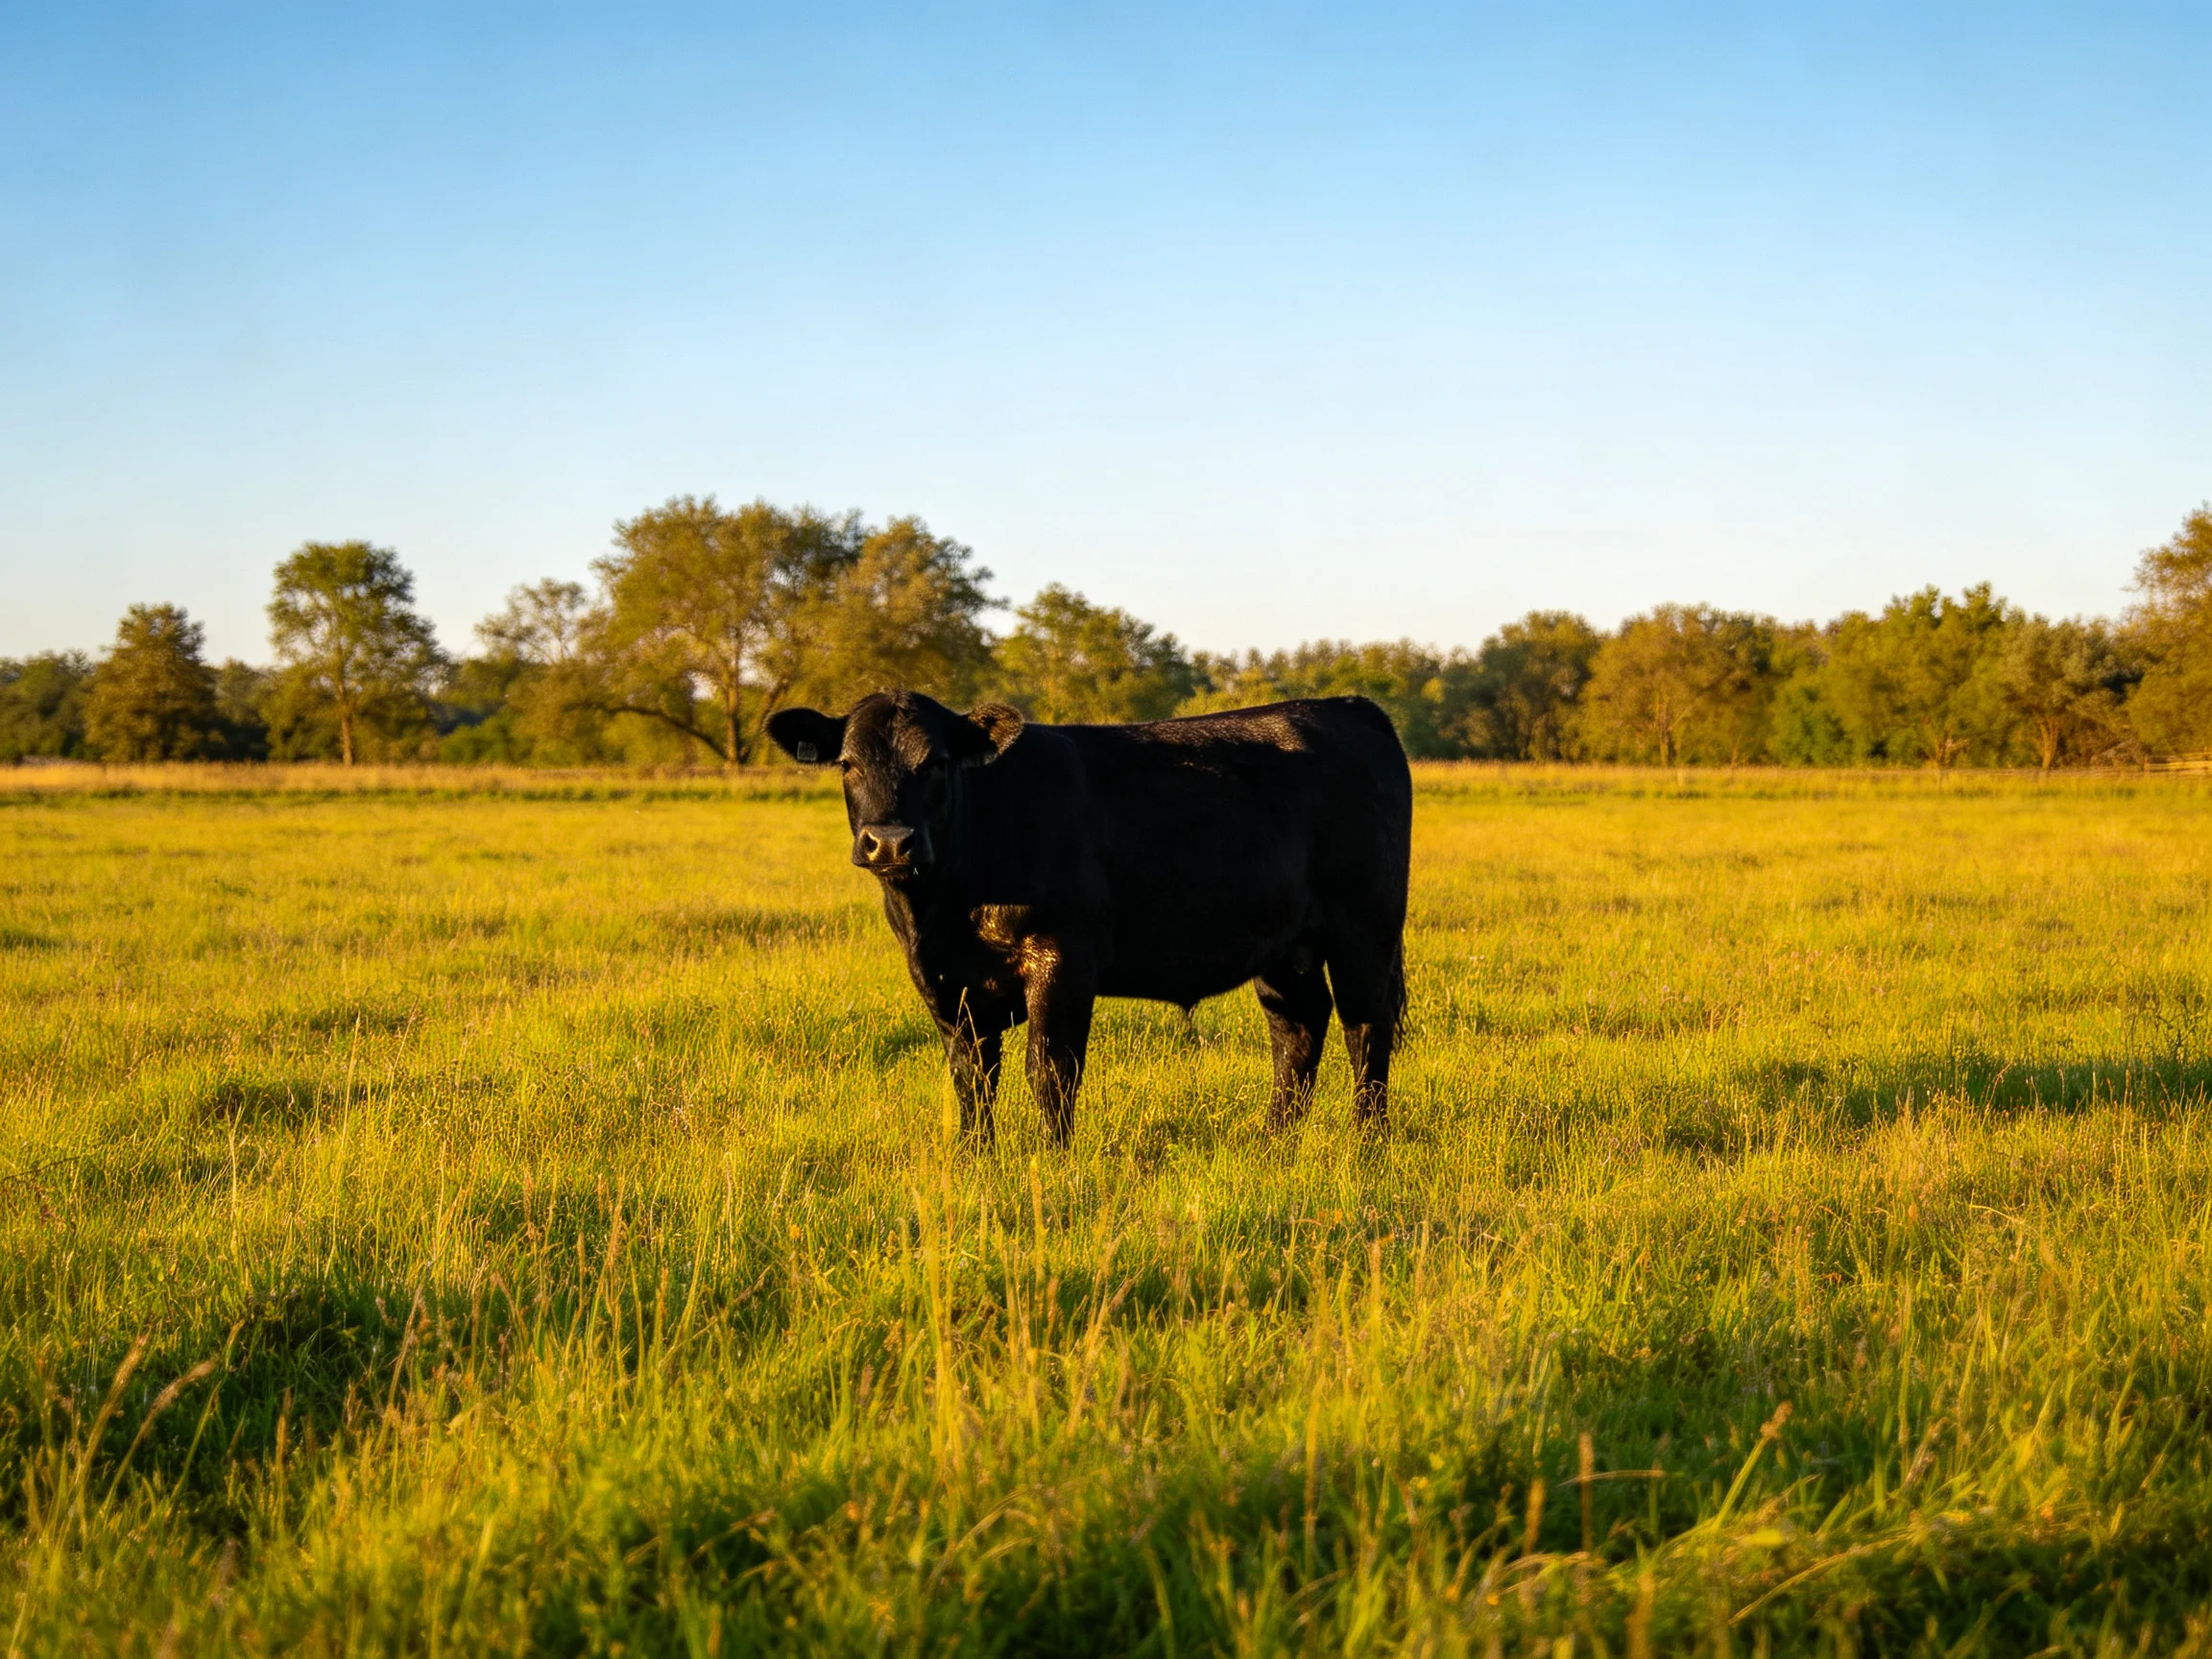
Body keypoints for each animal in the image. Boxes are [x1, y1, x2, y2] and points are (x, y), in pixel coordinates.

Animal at [766, 691, 1411, 1144]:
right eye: (847, 764)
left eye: (938, 764)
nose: (891, 842)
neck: (942, 910)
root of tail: (1347, 706)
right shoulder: (944, 981)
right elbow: (972, 1076)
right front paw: (976, 1160)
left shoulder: (1064, 958)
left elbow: (1050, 1070)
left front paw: (1053, 1159)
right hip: (1283, 947)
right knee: (1298, 1030)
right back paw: (1275, 1141)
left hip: (1364, 930)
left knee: (1365, 1029)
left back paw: (1366, 1145)